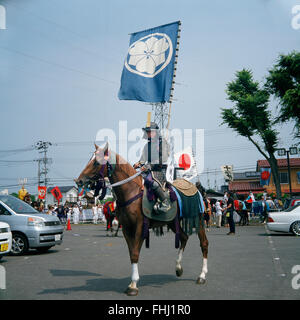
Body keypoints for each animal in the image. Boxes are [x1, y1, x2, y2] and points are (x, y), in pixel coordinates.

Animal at [75, 144, 209, 296]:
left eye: (97, 162)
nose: (79, 181)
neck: (130, 192)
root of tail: (195, 188)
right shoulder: (127, 228)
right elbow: (132, 253)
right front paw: (132, 282)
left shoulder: (139, 226)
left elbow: (135, 253)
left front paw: (133, 285)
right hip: (172, 222)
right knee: (184, 237)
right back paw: (178, 268)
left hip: (198, 219)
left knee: (204, 243)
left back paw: (202, 275)